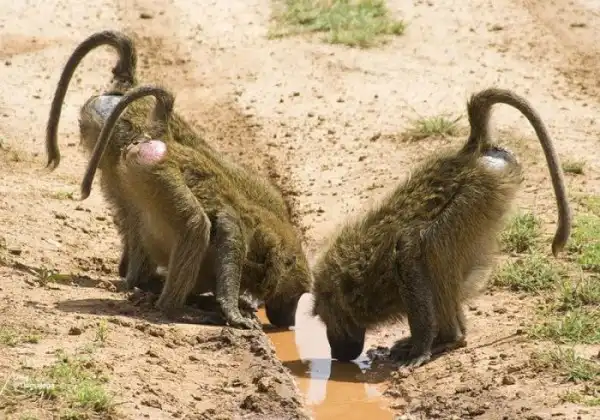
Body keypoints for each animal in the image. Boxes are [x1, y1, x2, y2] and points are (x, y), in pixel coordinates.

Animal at [77, 84, 311, 329]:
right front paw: (233, 312)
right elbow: (229, 232)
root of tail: (164, 139)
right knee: (195, 227)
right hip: (157, 171)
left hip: (136, 176)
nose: (290, 323)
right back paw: (174, 309)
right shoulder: (245, 231)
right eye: (295, 296)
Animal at [310, 88, 572, 367]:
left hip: (476, 196)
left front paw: (421, 349)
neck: (354, 270)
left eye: (326, 316)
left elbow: (408, 252)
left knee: (433, 247)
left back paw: (449, 339)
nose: (337, 355)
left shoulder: (397, 257)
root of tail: (470, 153)